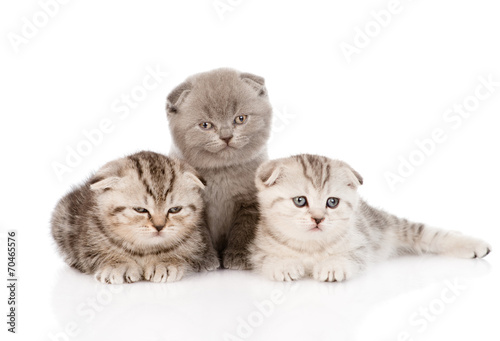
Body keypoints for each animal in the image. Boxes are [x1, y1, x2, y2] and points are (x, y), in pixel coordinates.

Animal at [50, 150, 219, 282]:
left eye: (174, 209)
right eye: (140, 210)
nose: (159, 226)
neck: (144, 249)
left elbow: (186, 254)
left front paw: (165, 262)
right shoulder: (87, 240)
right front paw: (118, 264)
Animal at [166, 67, 272, 268]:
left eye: (240, 119)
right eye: (205, 125)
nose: (226, 136)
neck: (222, 172)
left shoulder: (250, 202)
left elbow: (244, 230)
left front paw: (239, 256)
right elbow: (199, 234)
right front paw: (203, 259)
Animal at [248, 155, 490, 282]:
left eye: (332, 202)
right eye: (300, 201)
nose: (318, 219)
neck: (310, 248)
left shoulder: (362, 243)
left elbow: (353, 256)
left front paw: (333, 265)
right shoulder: (256, 249)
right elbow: (266, 258)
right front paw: (283, 265)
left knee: (430, 233)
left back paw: (474, 245)